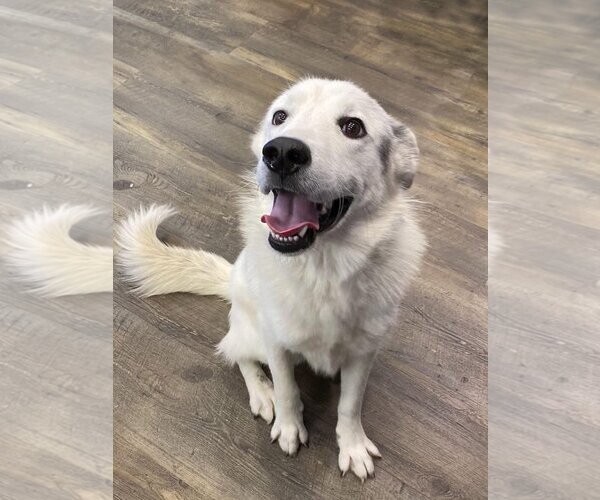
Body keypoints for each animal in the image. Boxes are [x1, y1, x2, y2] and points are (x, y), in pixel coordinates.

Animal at [118, 78, 426, 480]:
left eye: (353, 127)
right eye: (280, 117)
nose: (281, 152)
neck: (322, 269)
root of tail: (231, 277)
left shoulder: (363, 354)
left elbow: (350, 405)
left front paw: (352, 446)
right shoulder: (277, 345)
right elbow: (288, 390)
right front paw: (289, 427)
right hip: (252, 334)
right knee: (236, 353)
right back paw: (262, 394)